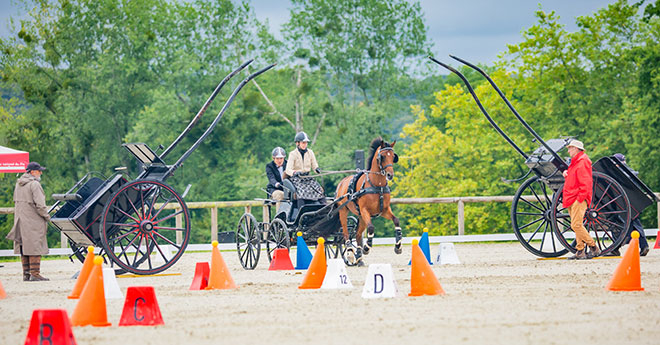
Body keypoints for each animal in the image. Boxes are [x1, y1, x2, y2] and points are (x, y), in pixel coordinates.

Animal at [336, 136, 402, 264]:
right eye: (383, 156)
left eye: (393, 156)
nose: (390, 175)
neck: (377, 186)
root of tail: (342, 182)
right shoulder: (365, 210)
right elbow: (371, 228)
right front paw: (367, 247)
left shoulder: (384, 210)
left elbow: (396, 220)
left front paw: (398, 246)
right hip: (343, 211)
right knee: (346, 233)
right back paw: (350, 252)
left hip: (361, 216)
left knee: (357, 235)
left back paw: (359, 257)